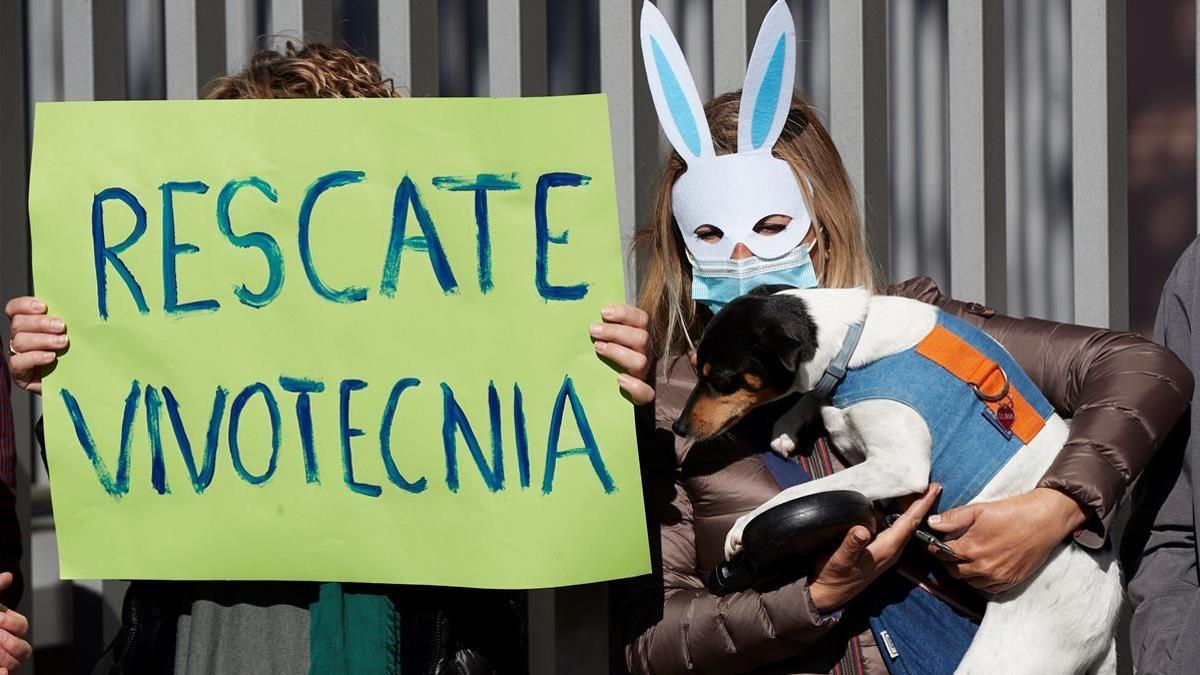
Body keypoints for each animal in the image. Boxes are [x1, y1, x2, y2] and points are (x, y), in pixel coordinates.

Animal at [672, 284, 1118, 672]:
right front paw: (787, 424)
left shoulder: (899, 466)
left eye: (721, 379)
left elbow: (802, 489)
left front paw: (744, 524)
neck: (849, 342)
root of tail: (1109, 618)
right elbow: (814, 399)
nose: (677, 427)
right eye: (696, 370)